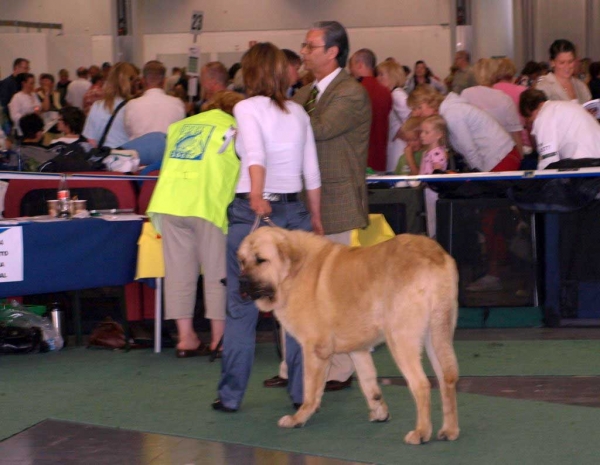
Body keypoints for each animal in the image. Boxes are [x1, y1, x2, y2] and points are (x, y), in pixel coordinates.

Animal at [237, 227, 462, 444]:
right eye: (242, 261)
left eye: (261, 260)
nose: (241, 282)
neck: (293, 273)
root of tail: (434, 256)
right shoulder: (358, 350)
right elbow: (368, 382)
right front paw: (380, 413)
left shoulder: (314, 350)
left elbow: (310, 389)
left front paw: (298, 418)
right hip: (436, 337)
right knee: (447, 379)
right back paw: (449, 430)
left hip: (401, 340)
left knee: (422, 385)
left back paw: (421, 432)